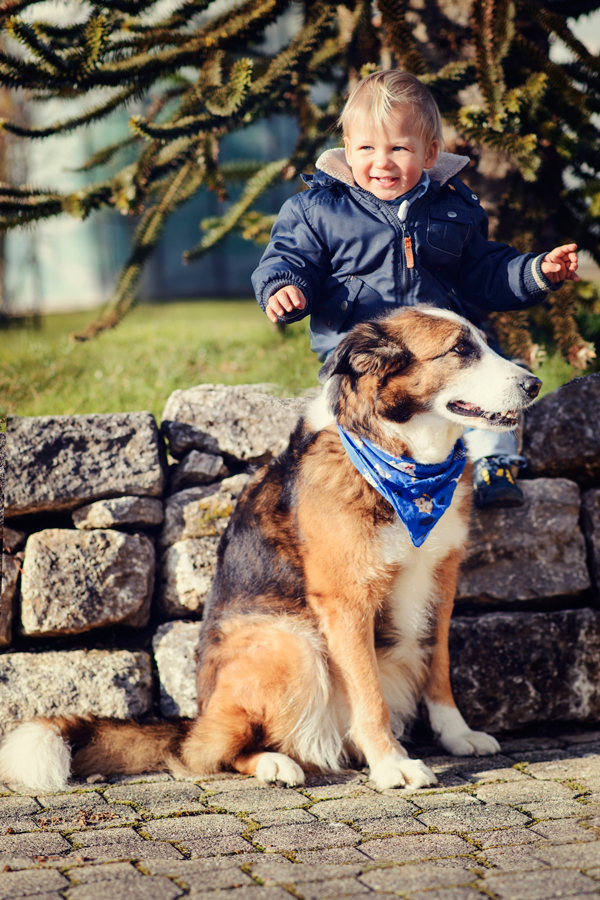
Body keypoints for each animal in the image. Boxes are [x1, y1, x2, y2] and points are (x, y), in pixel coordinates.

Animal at [0, 306, 540, 792]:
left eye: (484, 342)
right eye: (460, 350)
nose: (534, 384)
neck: (405, 466)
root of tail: (198, 715)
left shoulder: (441, 582)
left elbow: (439, 669)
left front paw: (456, 734)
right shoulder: (345, 602)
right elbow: (370, 697)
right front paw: (391, 764)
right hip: (292, 643)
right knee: (204, 753)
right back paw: (275, 764)